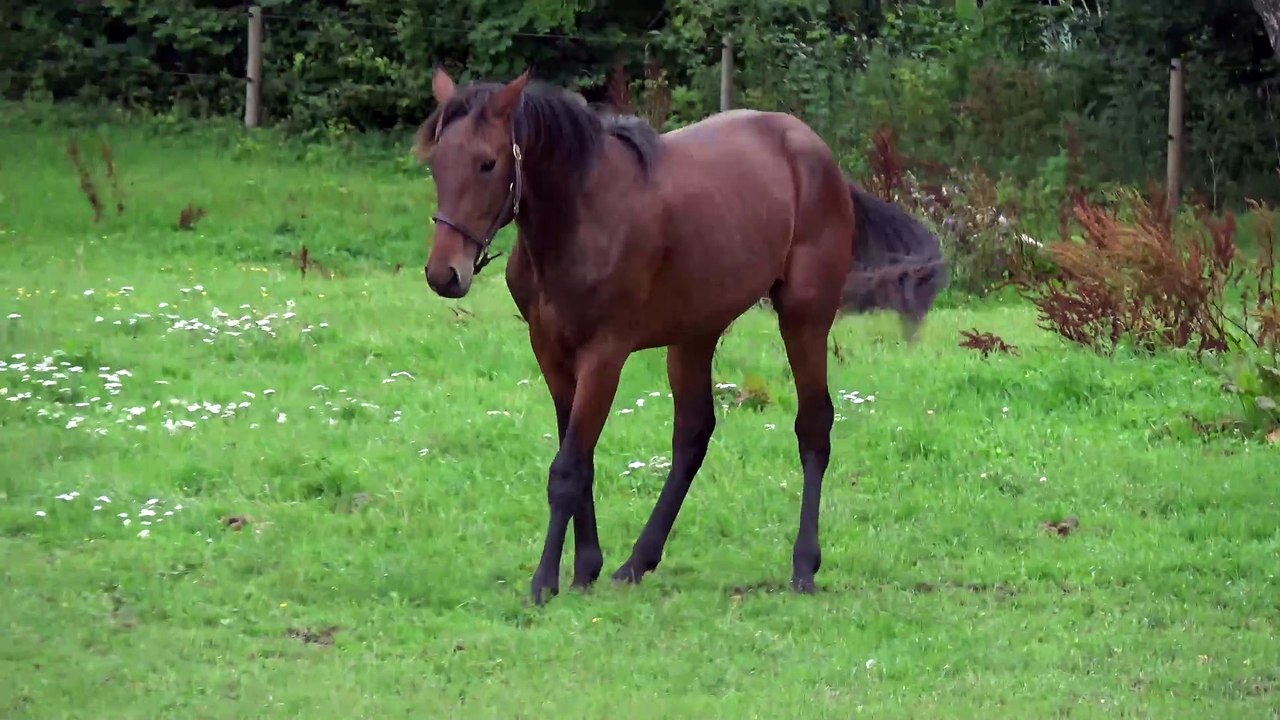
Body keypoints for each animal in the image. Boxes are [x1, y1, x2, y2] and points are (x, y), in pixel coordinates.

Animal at [414, 67, 947, 605]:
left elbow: (566, 469)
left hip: (804, 317)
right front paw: (585, 567)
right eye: (435, 163)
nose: (445, 274)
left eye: (487, 163)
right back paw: (637, 562)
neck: (583, 218)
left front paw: (545, 581)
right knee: (693, 435)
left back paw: (803, 566)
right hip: (695, 334)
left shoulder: (604, 355)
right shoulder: (550, 351)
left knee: (813, 427)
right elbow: (579, 457)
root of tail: (818, 153)